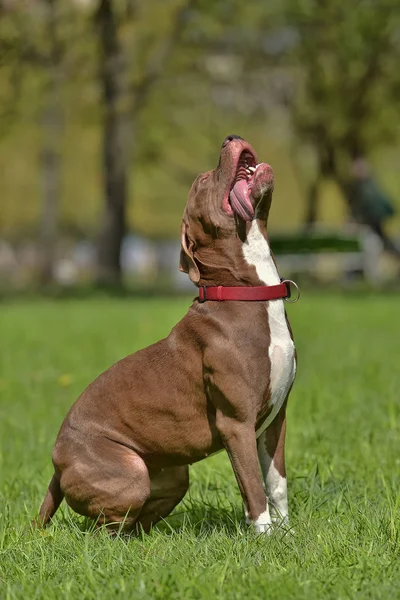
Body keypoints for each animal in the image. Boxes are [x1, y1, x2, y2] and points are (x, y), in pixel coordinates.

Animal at [36, 136, 296, 536]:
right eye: (202, 181)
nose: (230, 137)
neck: (245, 293)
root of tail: (55, 461)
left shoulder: (275, 420)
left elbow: (277, 483)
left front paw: (288, 535)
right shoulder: (237, 424)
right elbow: (253, 487)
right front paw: (266, 538)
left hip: (173, 474)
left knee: (134, 524)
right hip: (129, 473)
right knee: (100, 530)